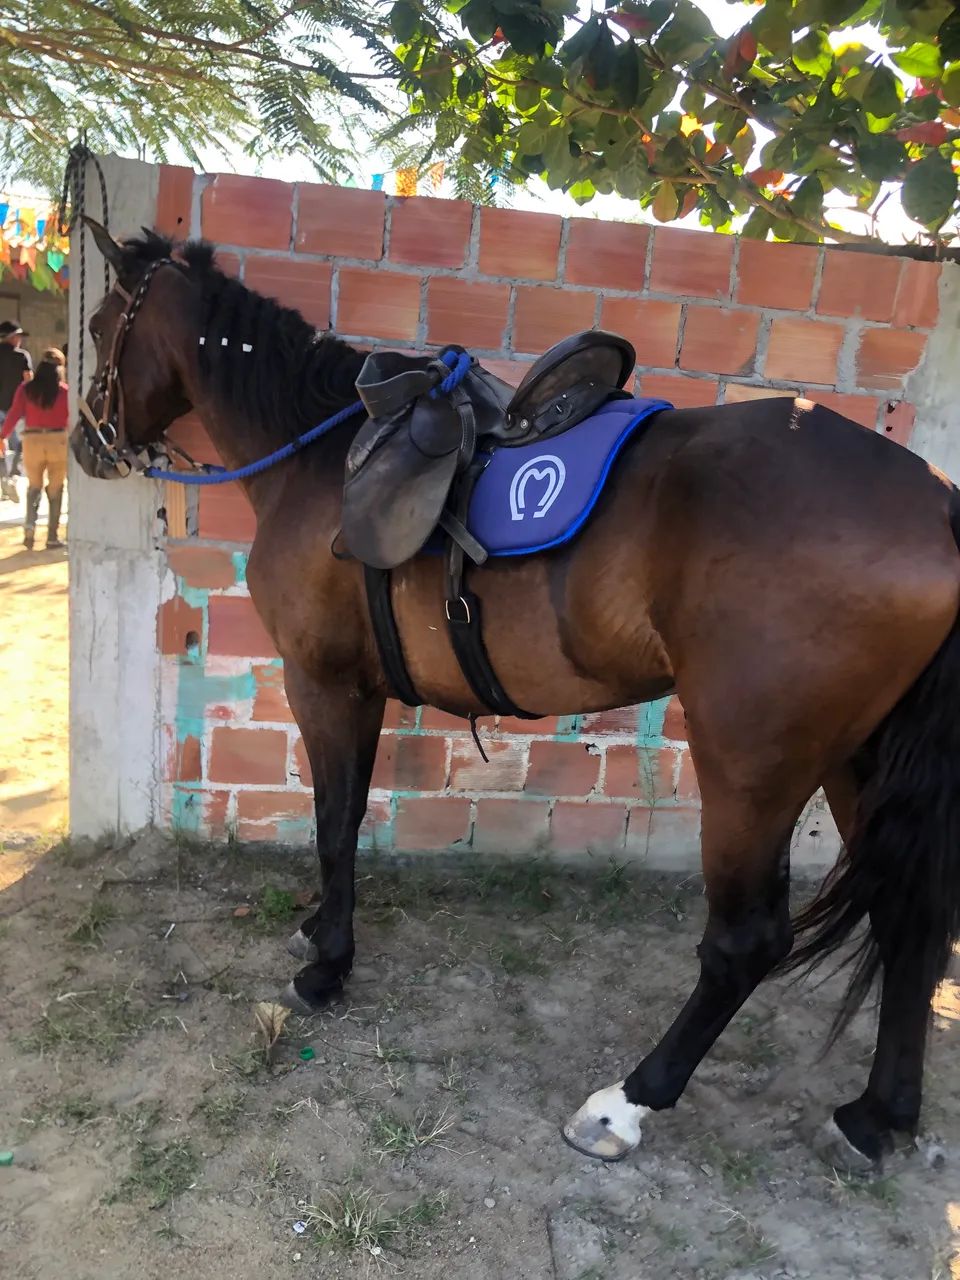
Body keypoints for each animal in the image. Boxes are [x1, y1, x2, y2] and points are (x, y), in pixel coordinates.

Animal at [72, 221, 960, 1171]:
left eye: (98, 325)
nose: (90, 443)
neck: (319, 459)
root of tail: (937, 503)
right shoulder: (360, 688)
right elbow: (346, 816)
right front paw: (320, 933)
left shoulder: (324, 681)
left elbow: (331, 821)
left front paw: (326, 966)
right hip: (856, 761)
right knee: (912, 922)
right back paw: (877, 1116)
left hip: (752, 769)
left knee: (746, 941)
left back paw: (627, 1103)